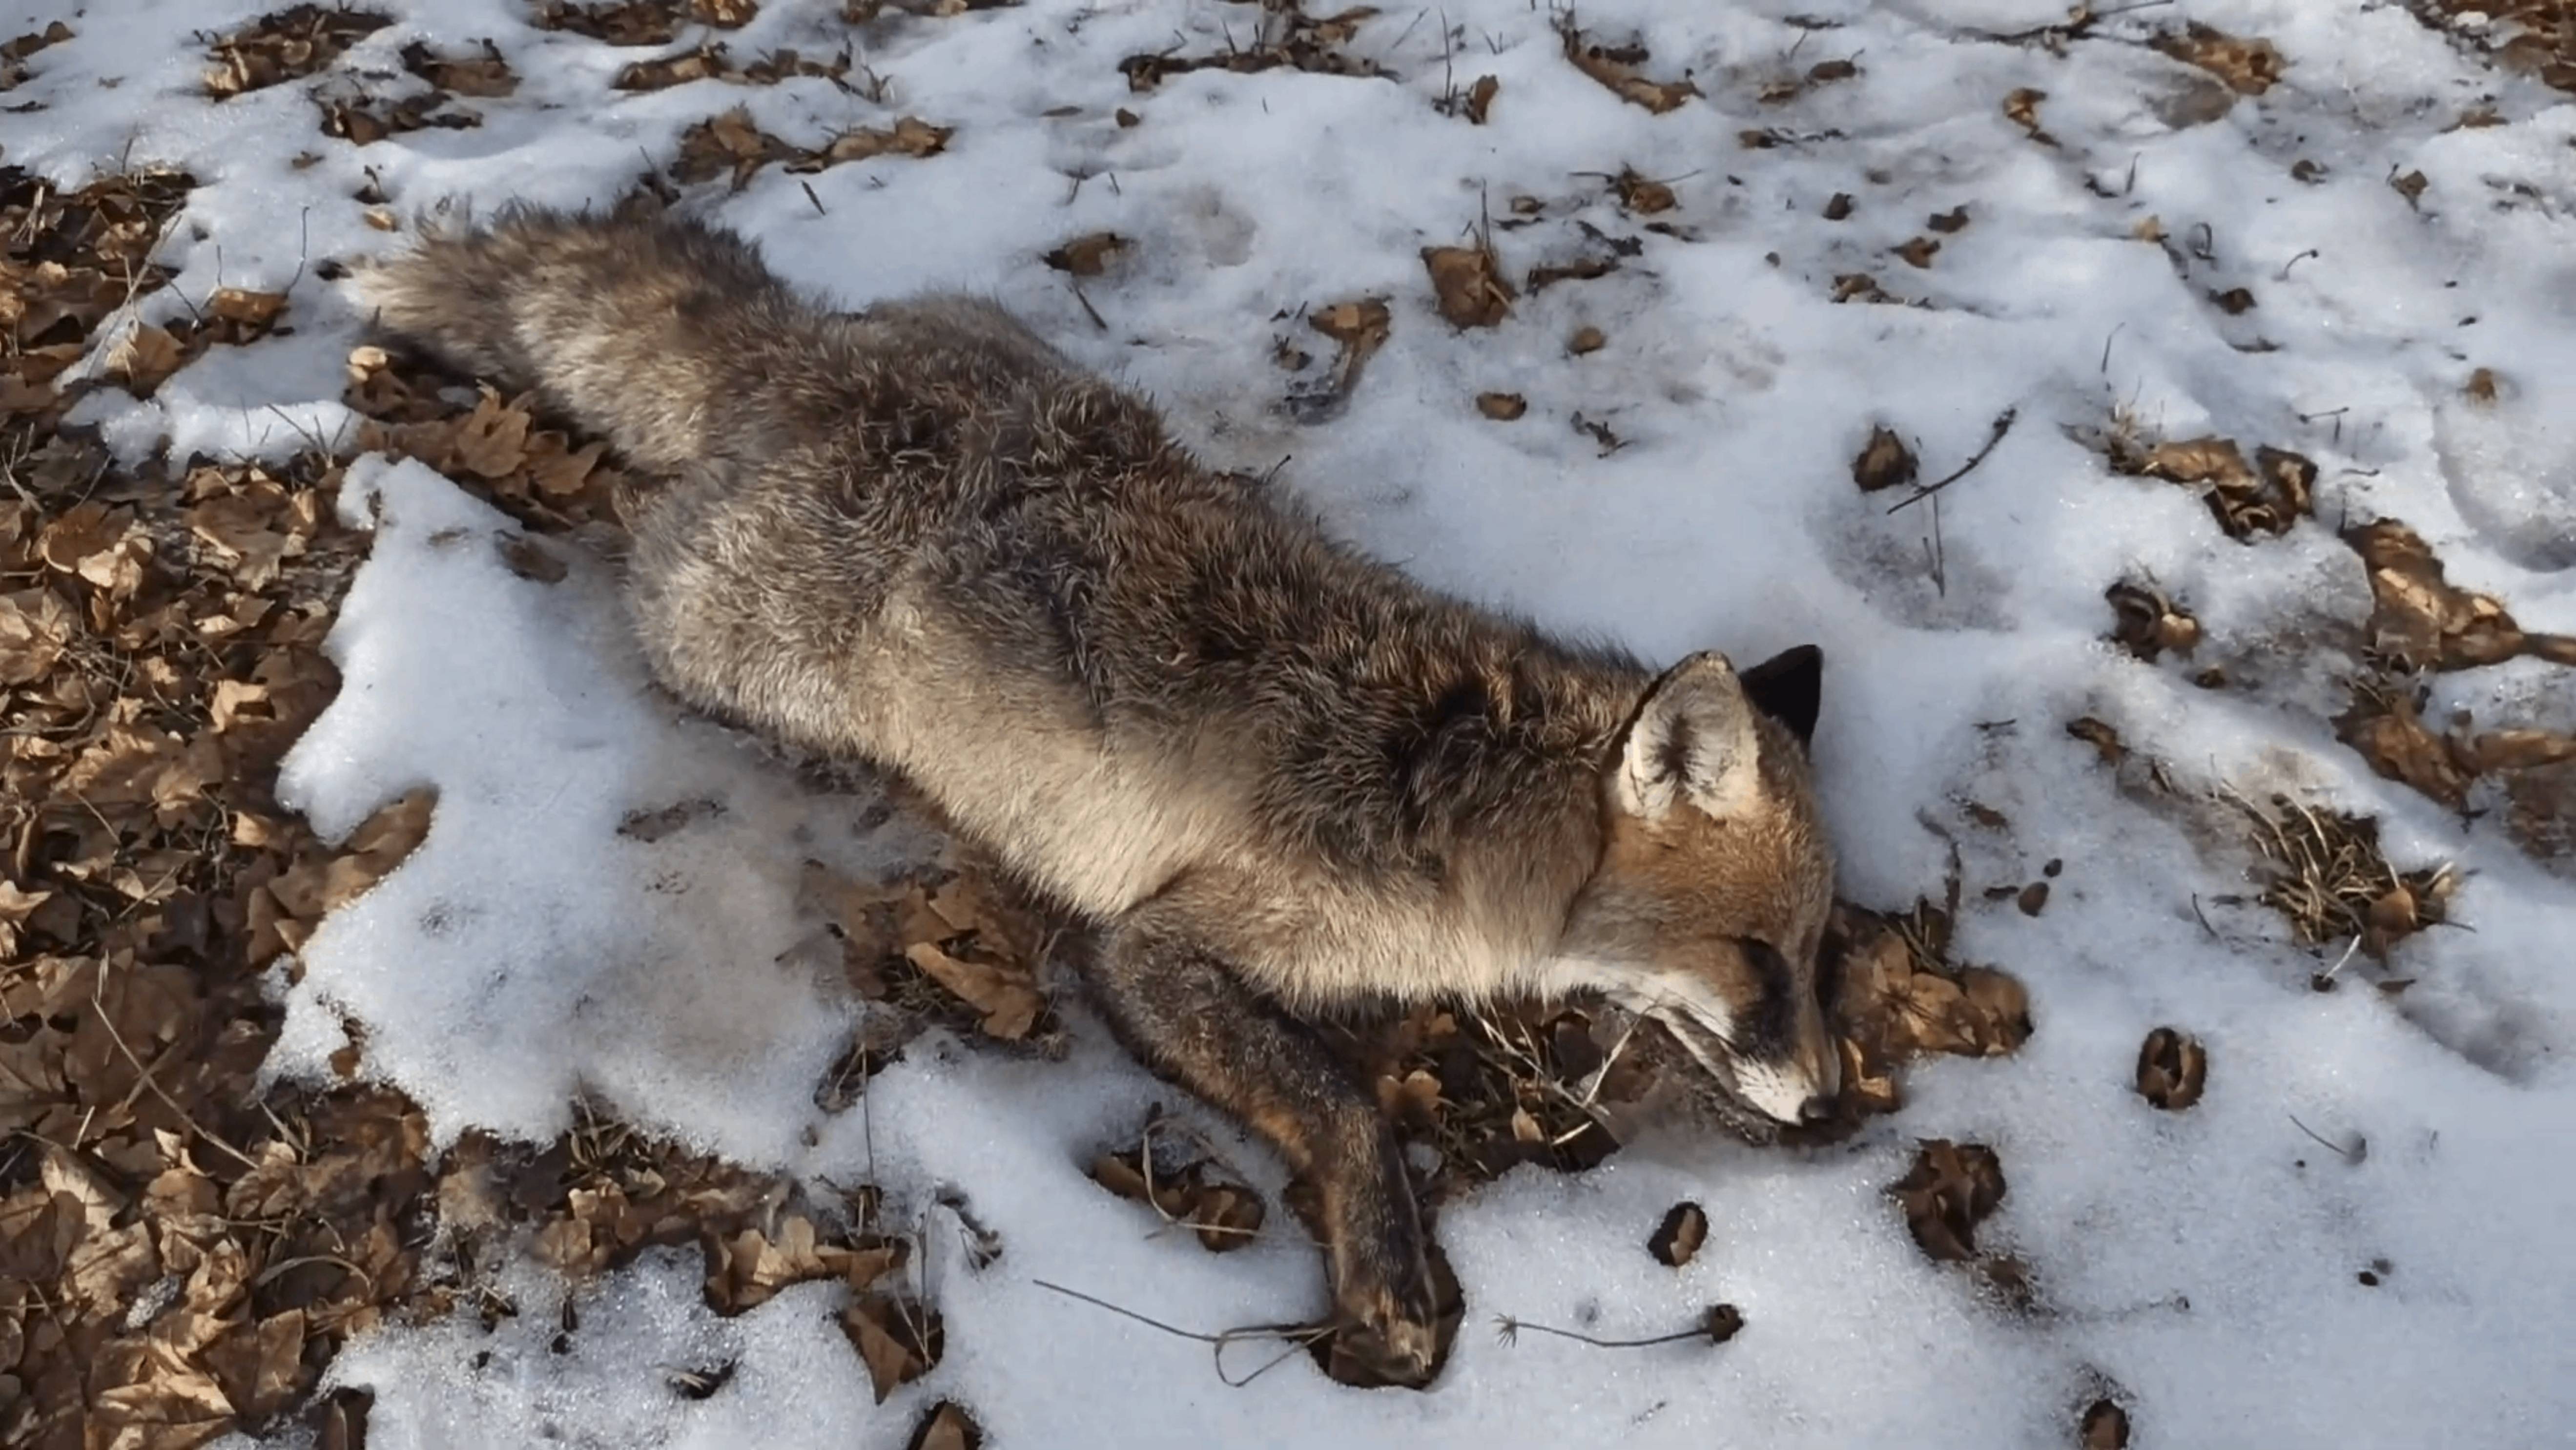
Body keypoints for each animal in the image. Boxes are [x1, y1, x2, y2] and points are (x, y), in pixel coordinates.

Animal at [352, 212, 1844, 1380]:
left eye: (1820, 956)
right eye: (1754, 956)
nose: (1838, 1109)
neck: (1445, 790)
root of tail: (809, 355)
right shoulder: (1155, 945)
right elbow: (1339, 1098)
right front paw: (1385, 1264)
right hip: (732, 643)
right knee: (639, 554)